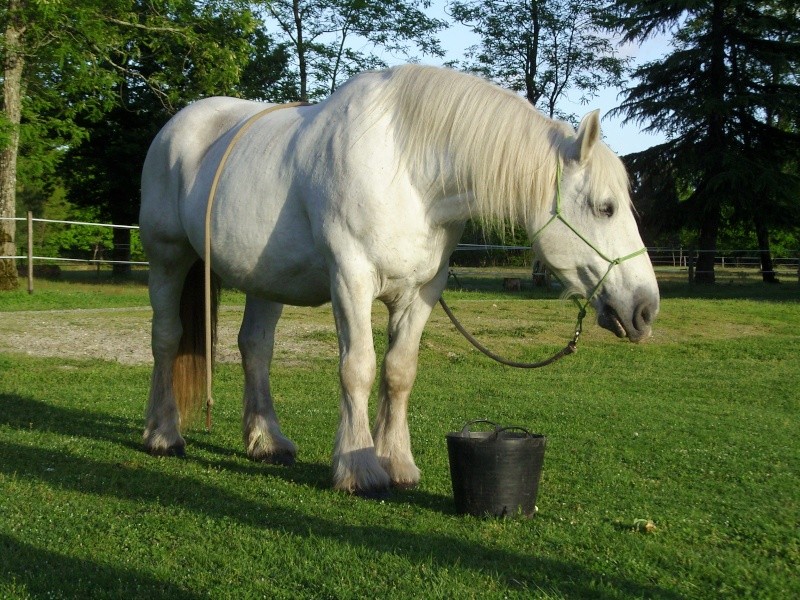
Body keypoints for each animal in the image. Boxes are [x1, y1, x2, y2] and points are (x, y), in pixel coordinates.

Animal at [141, 65, 660, 496]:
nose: (645, 308)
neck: (408, 169)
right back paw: (163, 434)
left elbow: (398, 372)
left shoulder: (421, 292)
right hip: (167, 259)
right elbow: (358, 368)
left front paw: (397, 462)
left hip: (266, 281)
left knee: (255, 348)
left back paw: (267, 441)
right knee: (167, 338)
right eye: (605, 208)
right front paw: (360, 469)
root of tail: (176, 126)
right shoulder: (350, 279)